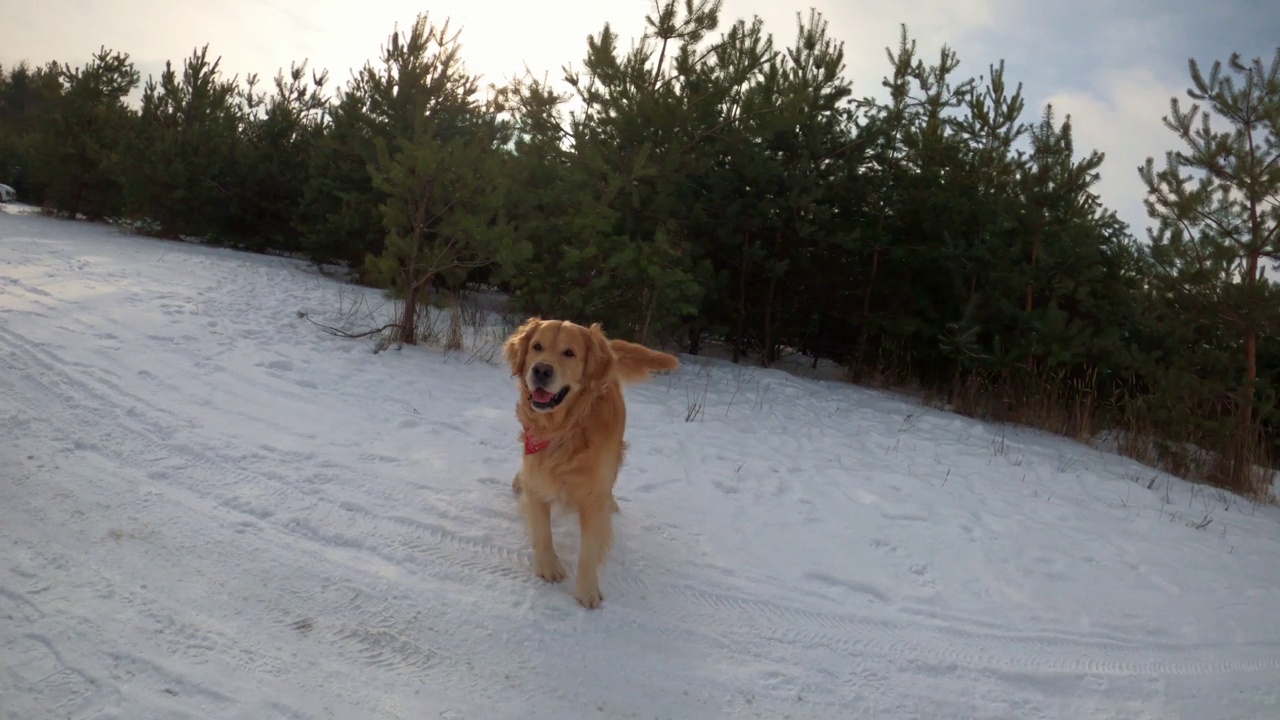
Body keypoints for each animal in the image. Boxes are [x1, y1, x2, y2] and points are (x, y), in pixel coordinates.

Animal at [501, 316, 686, 602]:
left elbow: (589, 549)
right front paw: (548, 566)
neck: (566, 429)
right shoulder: (539, 474)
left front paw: (587, 590)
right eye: (536, 347)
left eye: (569, 353)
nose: (541, 370)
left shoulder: (594, 498)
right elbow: (542, 530)